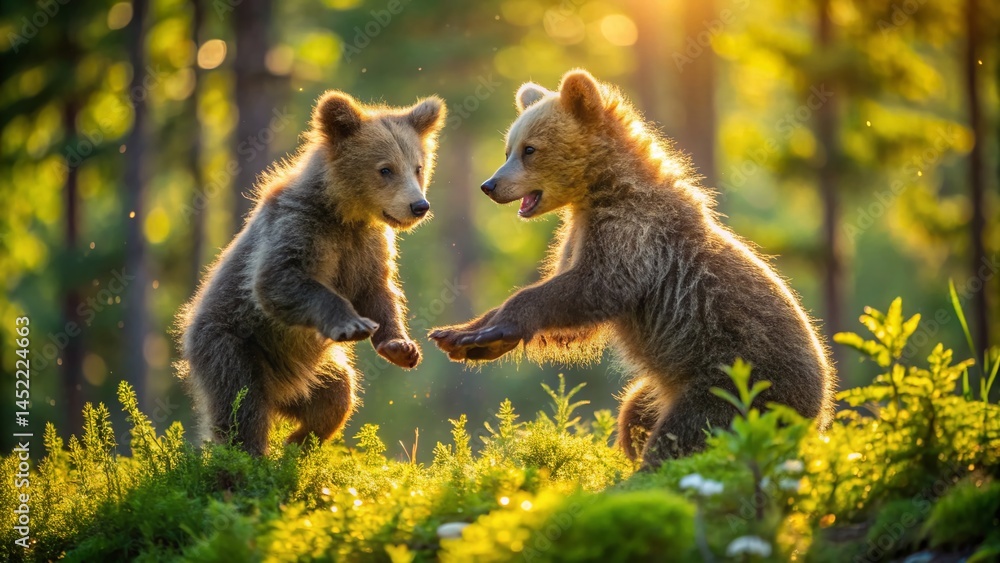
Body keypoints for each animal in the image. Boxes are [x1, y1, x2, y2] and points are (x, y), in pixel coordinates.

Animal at [175, 90, 446, 456]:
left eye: (418, 167)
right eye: (385, 169)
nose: (419, 206)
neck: (344, 213)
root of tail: (279, 392)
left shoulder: (367, 247)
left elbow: (379, 291)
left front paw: (401, 347)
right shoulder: (299, 227)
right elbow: (278, 281)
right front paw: (353, 324)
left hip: (314, 371)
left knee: (337, 395)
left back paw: (296, 443)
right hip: (231, 347)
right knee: (241, 411)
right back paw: (250, 458)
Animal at [429, 69, 834, 467]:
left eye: (529, 149)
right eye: (508, 148)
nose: (490, 185)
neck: (601, 189)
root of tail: (820, 409)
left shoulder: (633, 237)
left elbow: (590, 289)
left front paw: (492, 328)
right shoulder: (579, 233)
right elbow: (573, 313)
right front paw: (465, 335)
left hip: (736, 383)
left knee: (685, 435)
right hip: (666, 388)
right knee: (633, 411)